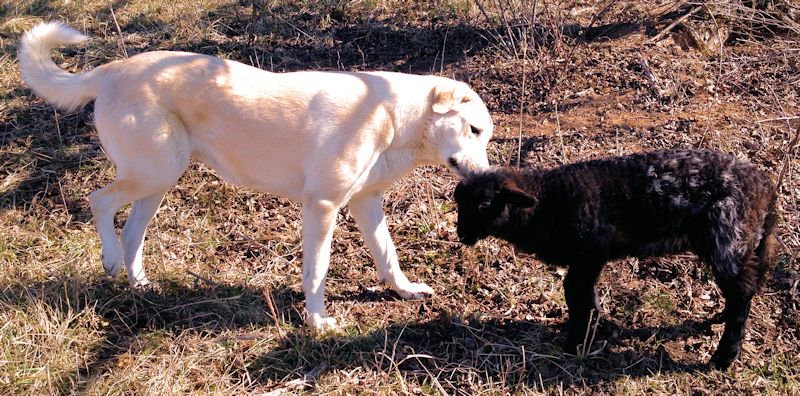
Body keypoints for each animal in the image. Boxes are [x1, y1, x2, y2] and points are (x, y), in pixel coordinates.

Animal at [17, 23, 494, 330]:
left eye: (485, 136)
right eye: (473, 130)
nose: (485, 179)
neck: (389, 115)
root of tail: (113, 69)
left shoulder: (365, 204)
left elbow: (388, 256)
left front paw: (405, 291)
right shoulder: (322, 207)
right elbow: (317, 271)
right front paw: (318, 322)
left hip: (160, 179)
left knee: (133, 232)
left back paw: (141, 284)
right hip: (154, 172)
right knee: (99, 202)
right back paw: (112, 261)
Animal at [454, 148, 780, 368]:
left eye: (484, 203)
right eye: (458, 202)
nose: (461, 235)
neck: (548, 201)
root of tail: (767, 189)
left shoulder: (590, 252)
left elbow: (576, 295)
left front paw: (574, 343)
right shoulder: (590, 258)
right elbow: (586, 295)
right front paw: (597, 327)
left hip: (728, 243)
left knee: (741, 298)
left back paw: (724, 357)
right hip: (741, 247)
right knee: (745, 289)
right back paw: (718, 320)